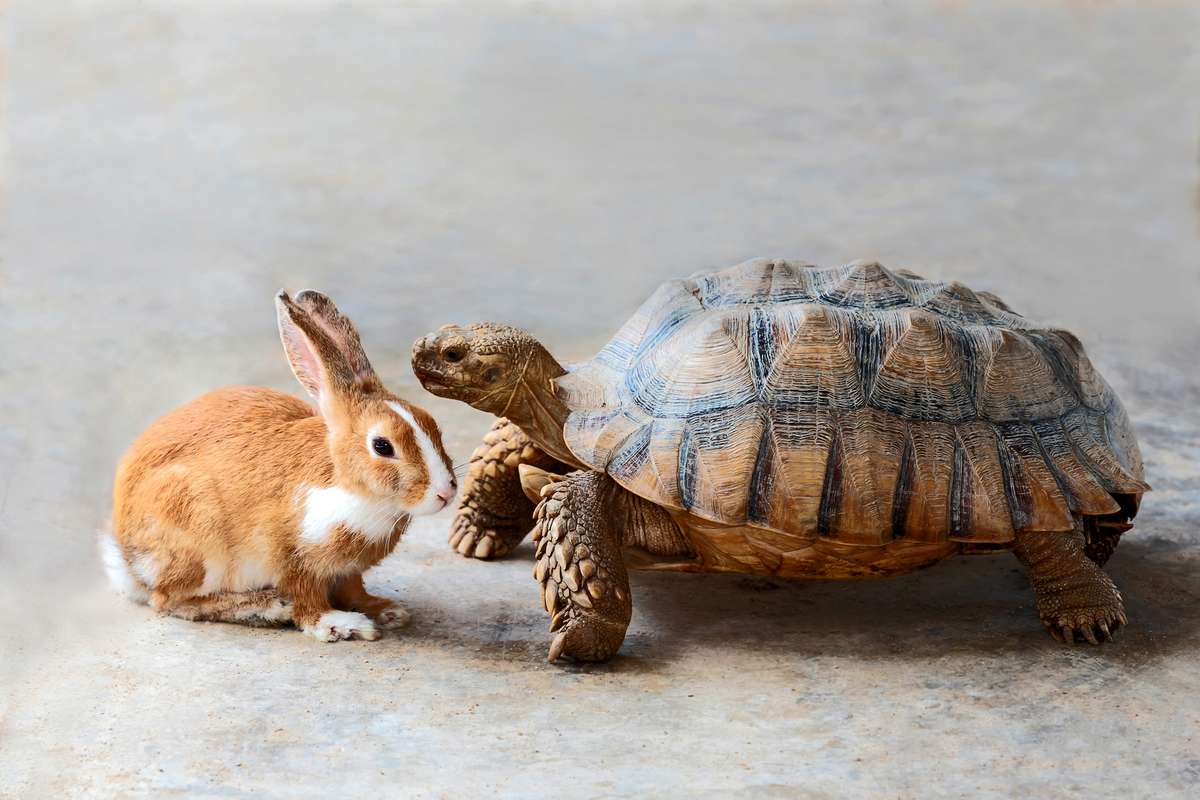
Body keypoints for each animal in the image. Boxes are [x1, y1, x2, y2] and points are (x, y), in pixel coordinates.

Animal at [101, 290, 457, 642]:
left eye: (433, 424)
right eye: (382, 446)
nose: (446, 493)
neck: (350, 487)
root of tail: (128, 560)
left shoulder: (348, 570)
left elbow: (355, 590)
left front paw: (385, 611)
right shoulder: (292, 559)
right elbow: (307, 601)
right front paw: (340, 625)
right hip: (198, 539)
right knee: (170, 600)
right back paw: (266, 607)